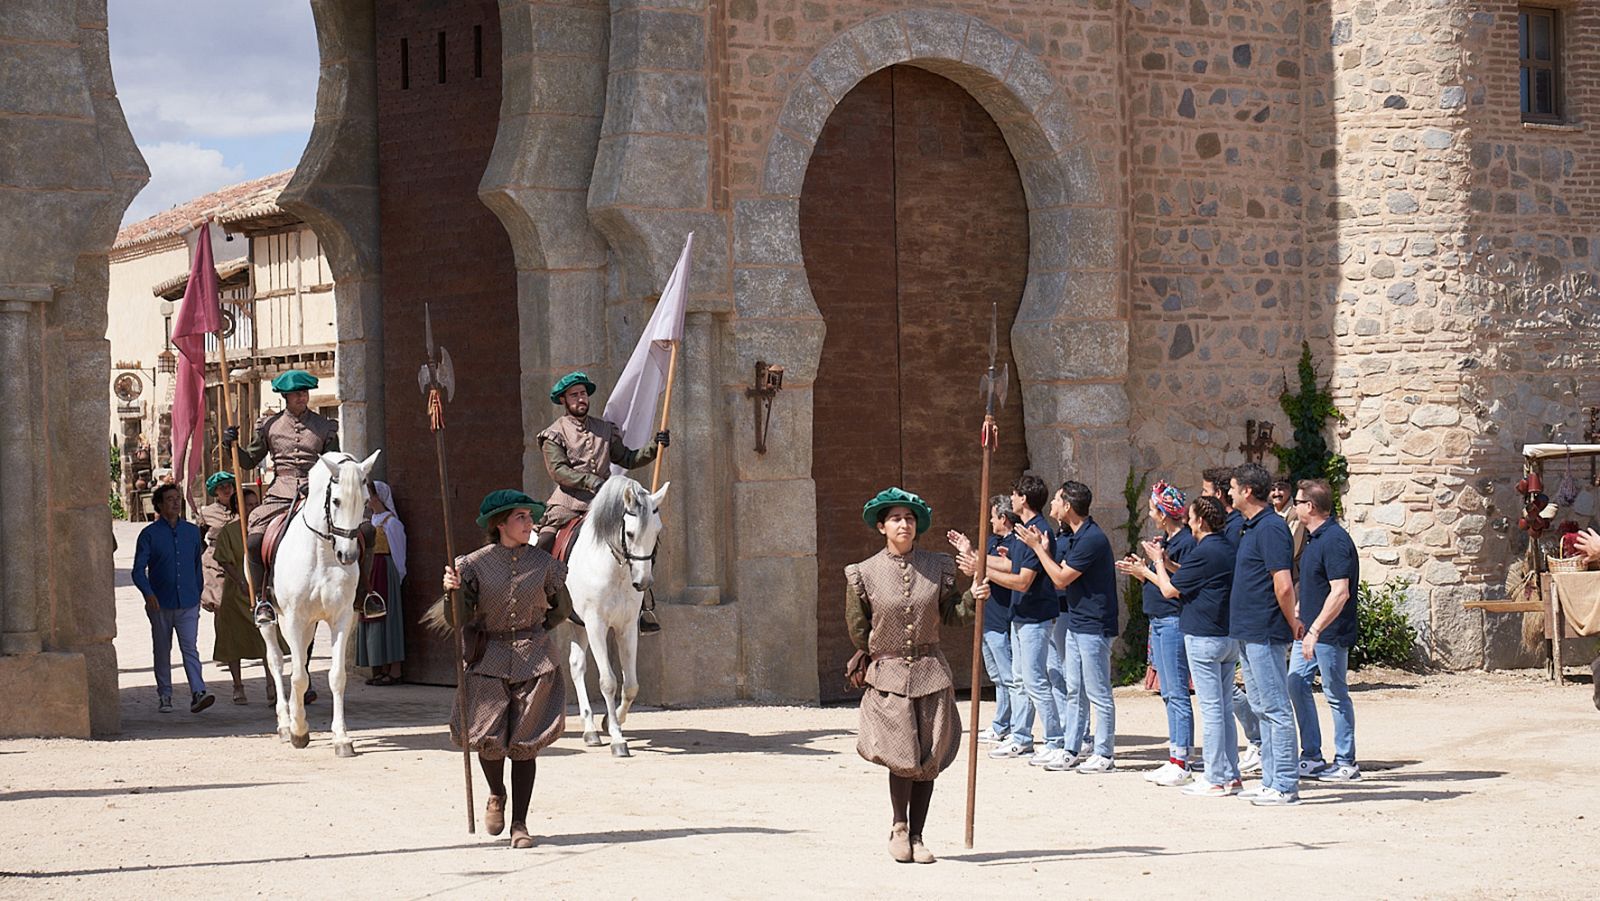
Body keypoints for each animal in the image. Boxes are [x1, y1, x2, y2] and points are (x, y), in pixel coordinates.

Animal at [259, 448, 377, 755]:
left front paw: (342, 738)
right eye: (336, 500)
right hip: (272, 620)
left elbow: (336, 677)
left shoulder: (342, 618)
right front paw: (299, 731)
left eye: (366, 501)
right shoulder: (294, 618)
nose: (347, 555)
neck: (323, 551)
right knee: (277, 662)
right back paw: (285, 723)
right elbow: (297, 676)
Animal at [566, 476, 665, 758]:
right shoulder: (596, 626)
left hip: (577, 625)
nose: (643, 582)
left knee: (576, 666)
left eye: (657, 532)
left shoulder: (627, 627)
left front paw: (611, 722)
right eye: (630, 533)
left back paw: (590, 730)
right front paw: (618, 739)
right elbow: (609, 681)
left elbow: (631, 685)